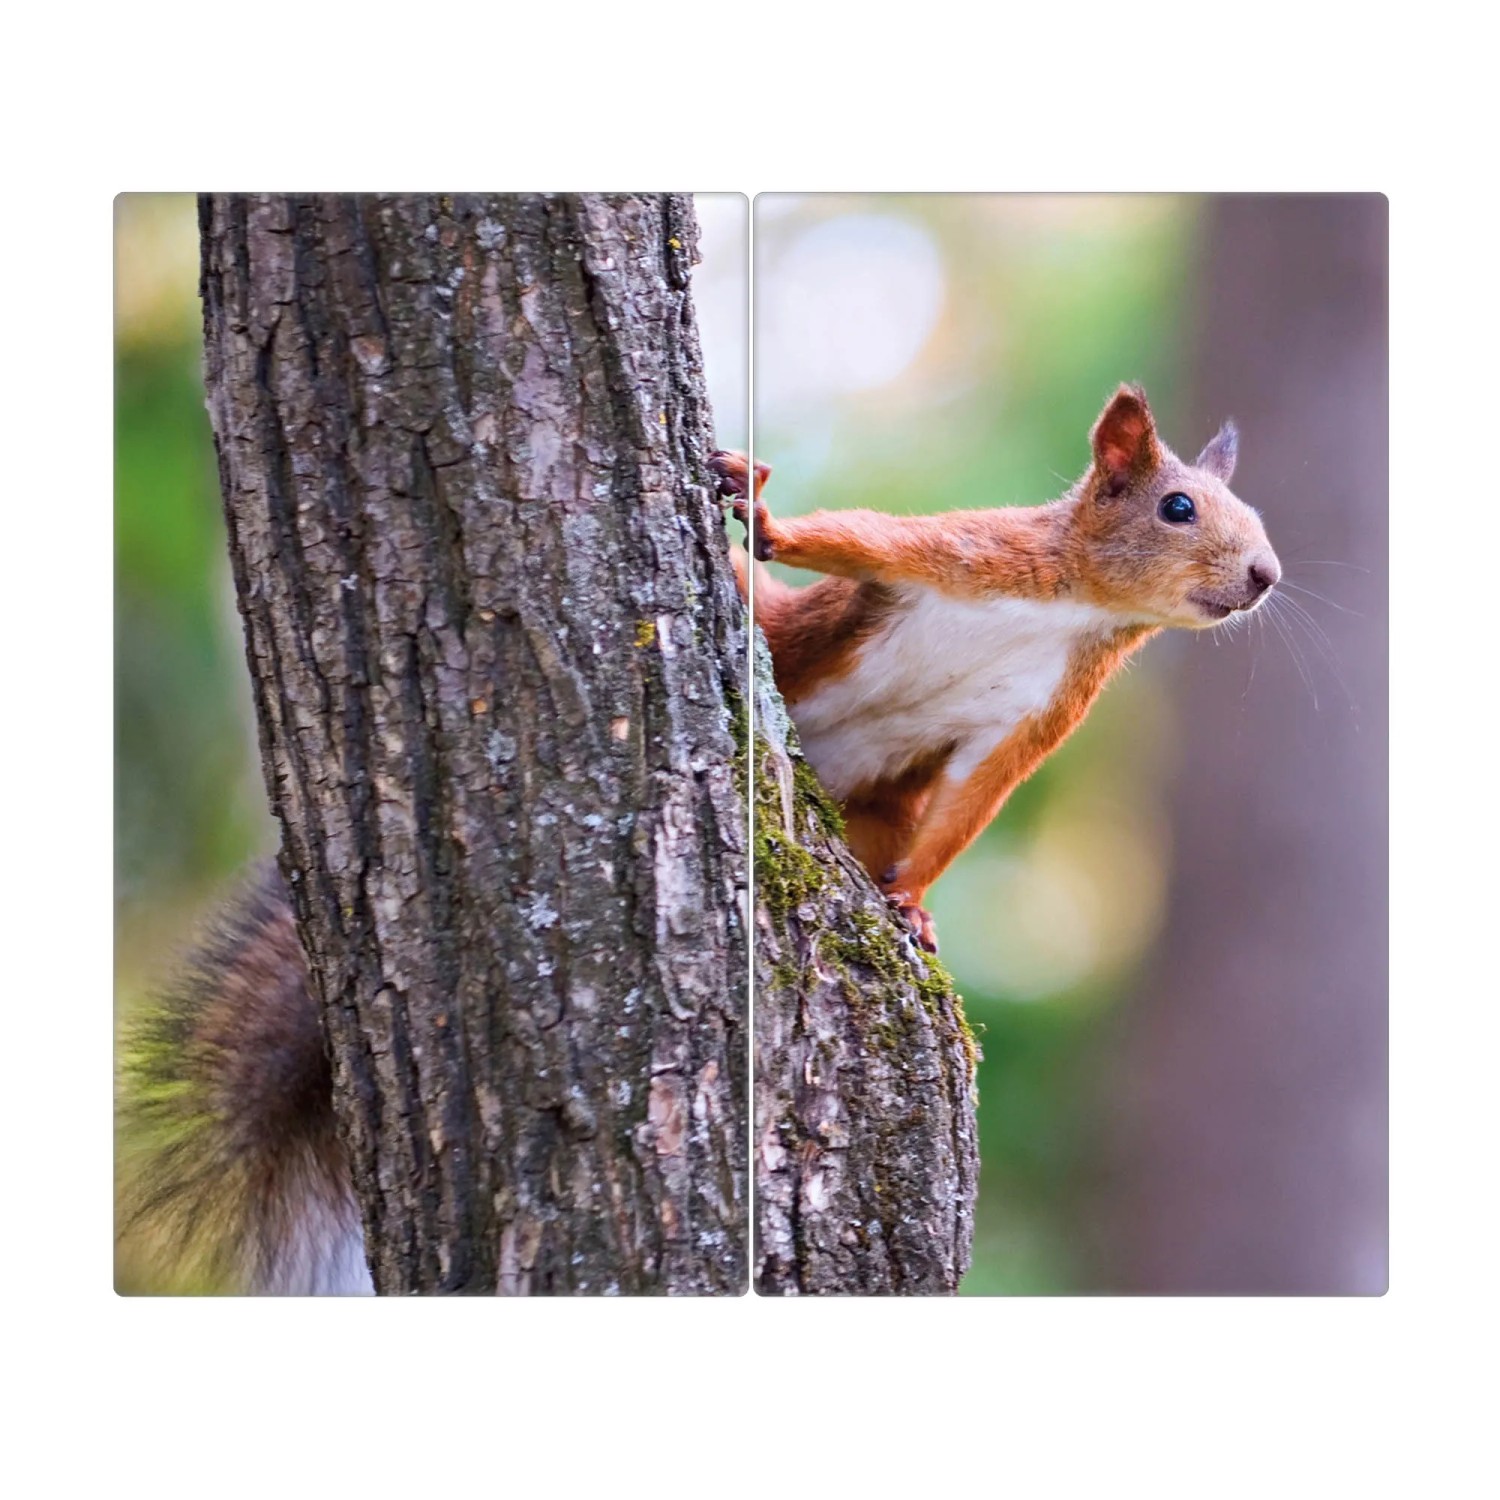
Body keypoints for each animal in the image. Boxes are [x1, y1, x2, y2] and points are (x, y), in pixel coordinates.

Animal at [713, 383, 1280, 953]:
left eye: (1255, 515)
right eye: (1178, 507)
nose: (1267, 574)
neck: (1084, 607)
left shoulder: (1044, 705)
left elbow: (976, 791)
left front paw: (911, 899)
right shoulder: (970, 551)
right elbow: (861, 538)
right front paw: (765, 522)